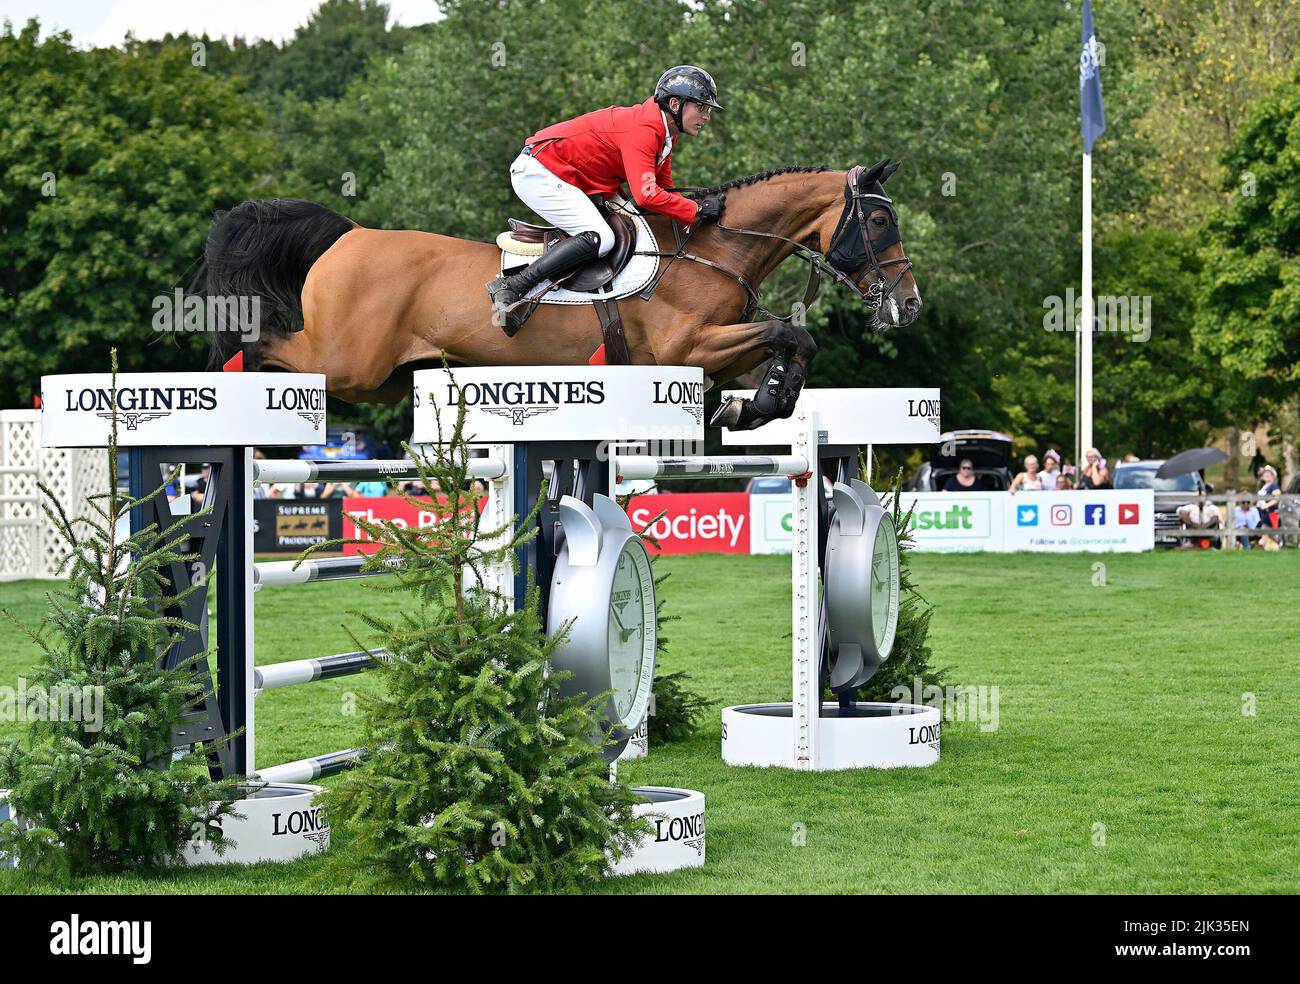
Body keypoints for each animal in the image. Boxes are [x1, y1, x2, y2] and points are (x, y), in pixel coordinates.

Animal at [202, 157, 920, 426]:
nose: (907, 302)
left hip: (381, 378)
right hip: (347, 364)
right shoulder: (690, 348)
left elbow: (793, 342)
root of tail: (349, 236)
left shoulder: (717, 356)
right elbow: (787, 330)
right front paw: (762, 403)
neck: (714, 251)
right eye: (879, 221)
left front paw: (759, 405)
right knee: (263, 344)